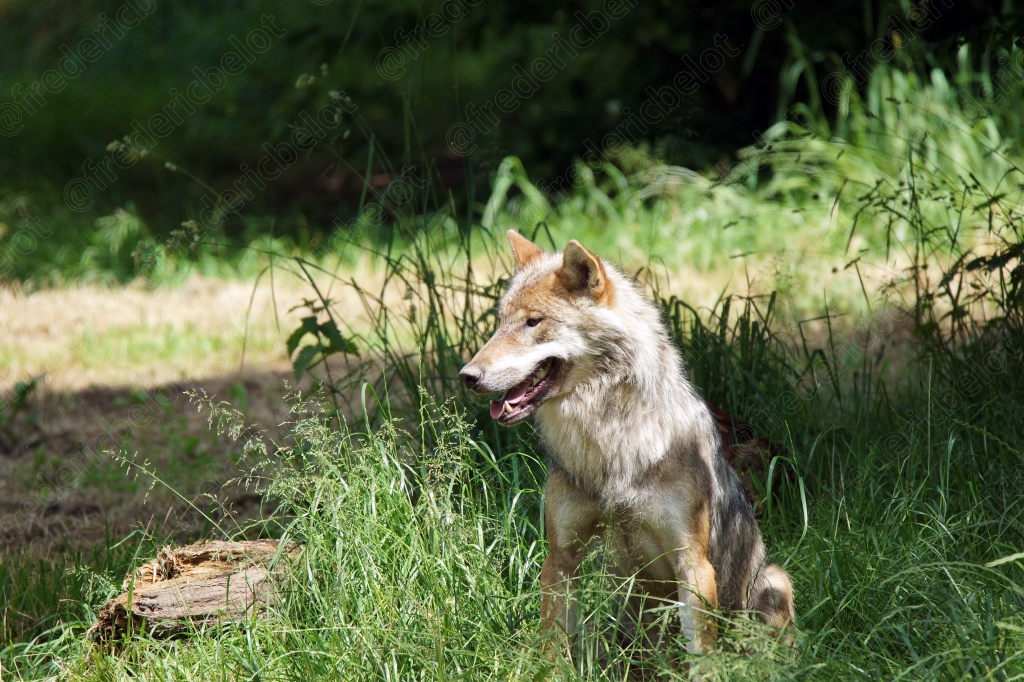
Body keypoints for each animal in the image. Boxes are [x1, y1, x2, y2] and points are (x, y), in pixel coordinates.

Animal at [459, 231, 794, 653]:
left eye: (533, 322)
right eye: (500, 323)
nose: (467, 376)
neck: (609, 442)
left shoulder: (693, 564)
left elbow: (702, 655)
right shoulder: (560, 557)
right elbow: (554, 647)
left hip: (775, 580)